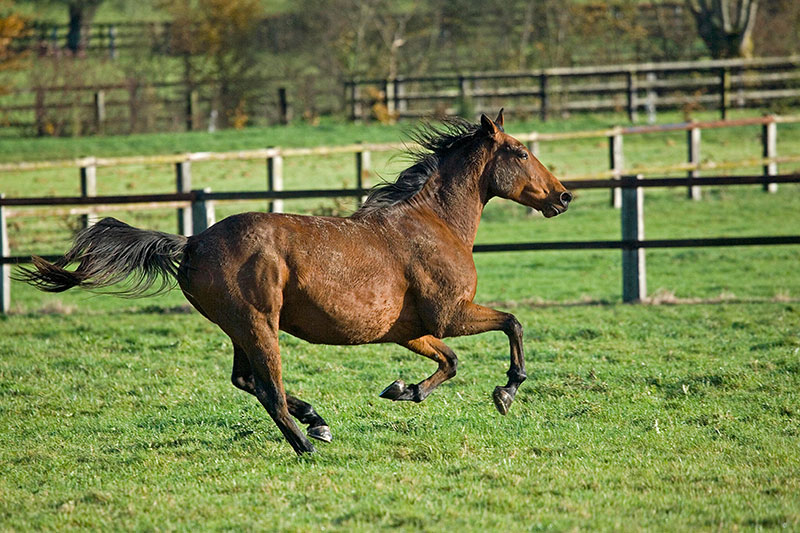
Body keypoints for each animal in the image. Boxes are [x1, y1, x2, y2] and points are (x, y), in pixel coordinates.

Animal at [17, 110, 572, 455]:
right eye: (520, 152)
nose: (563, 196)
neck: (432, 222)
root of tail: (191, 242)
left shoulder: (410, 329)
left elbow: (450, 362)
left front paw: (402, 389)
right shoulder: (450, 314)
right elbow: (512, 323)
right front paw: (507, 391)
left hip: (241, 328)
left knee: (248, 381)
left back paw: (317, 421)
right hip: (259, 323)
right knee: (268, 386)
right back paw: (307, 441)